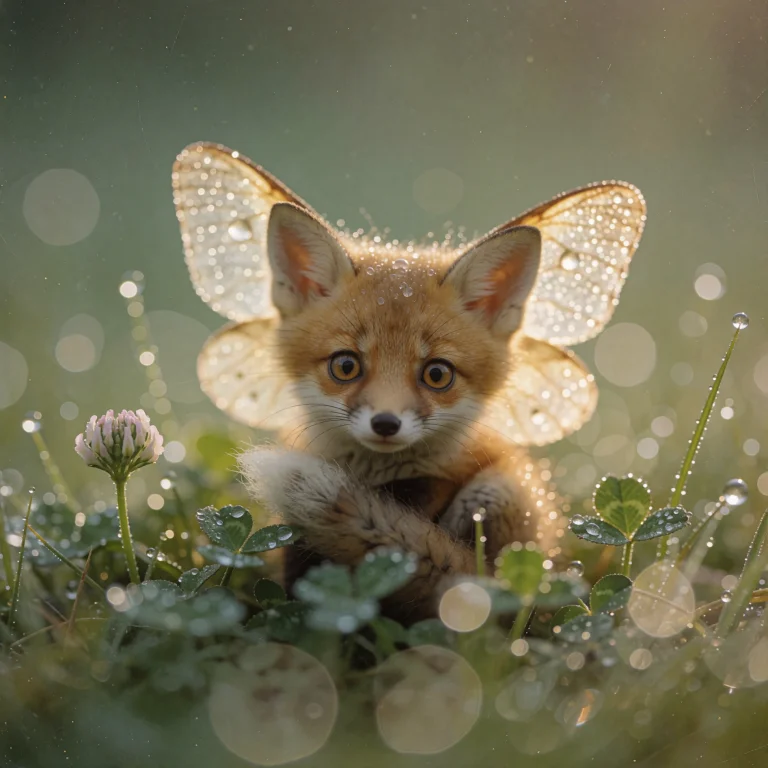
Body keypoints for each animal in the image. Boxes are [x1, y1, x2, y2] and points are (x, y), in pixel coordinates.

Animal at [173, 142, 646, 620]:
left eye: (437, 374)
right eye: (346, 366)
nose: (385, 423)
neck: (378, 480)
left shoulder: (438, 488)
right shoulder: (301, 538)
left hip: (497, 498)